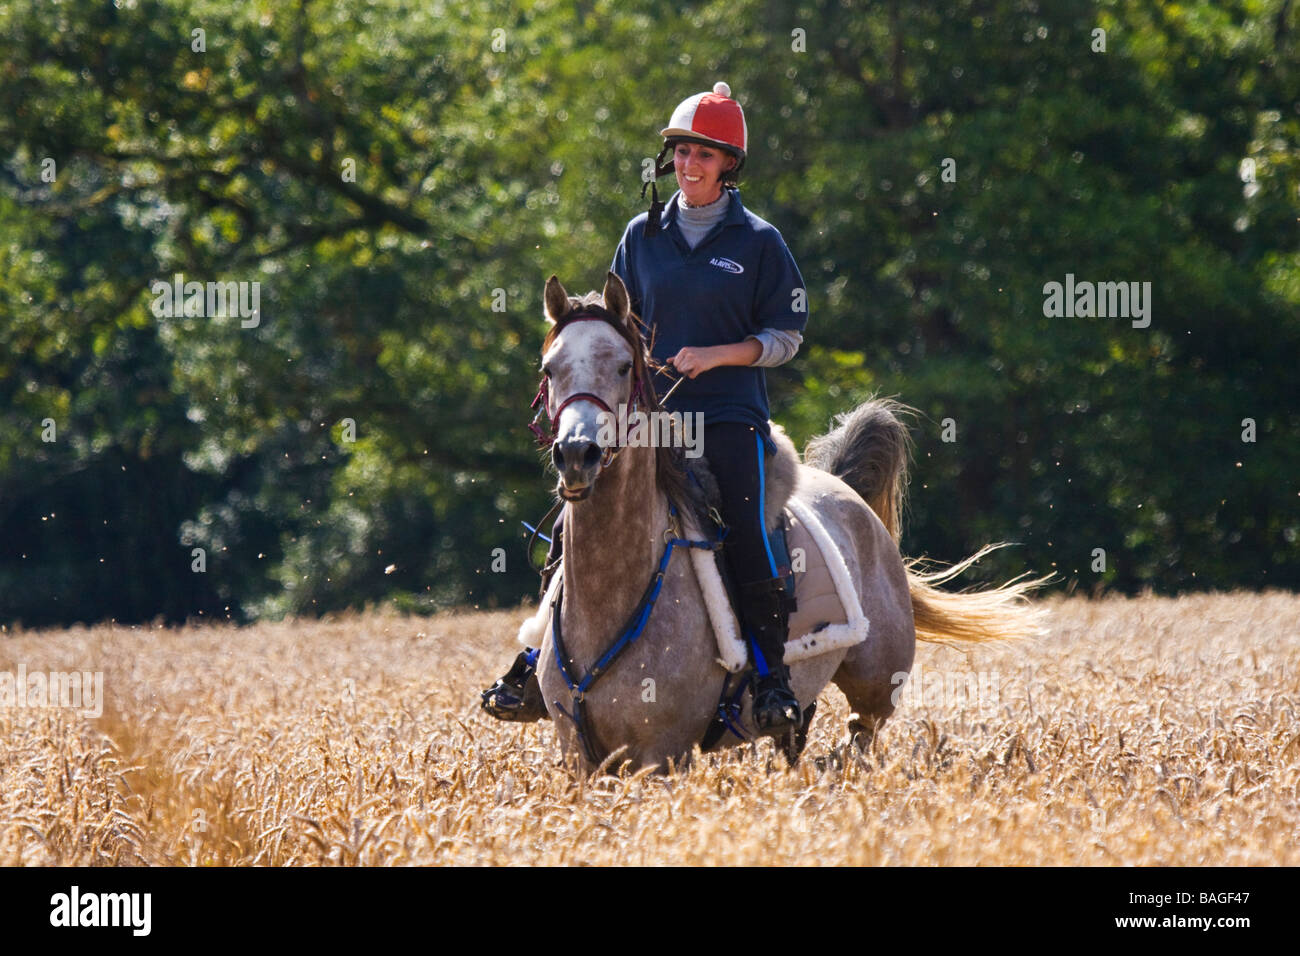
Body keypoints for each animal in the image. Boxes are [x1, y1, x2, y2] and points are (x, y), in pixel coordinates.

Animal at [522, 273, 1040, 775]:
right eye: (549, 369)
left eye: (624, 366)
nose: (577, 455)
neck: (614, 595)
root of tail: (844, 488)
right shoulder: (580, 756)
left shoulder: (664, 755)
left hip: (876, 690)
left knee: (860, 737)